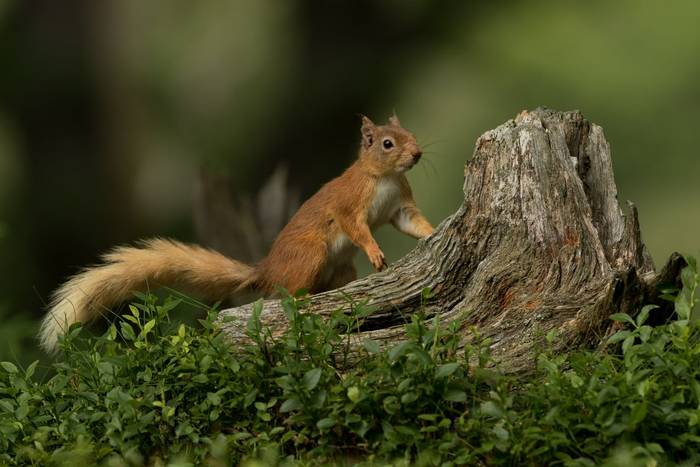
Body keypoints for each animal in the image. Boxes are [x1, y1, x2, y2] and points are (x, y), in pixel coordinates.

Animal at [39, 114, 434, 352]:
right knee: (284, 295)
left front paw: (432, 234)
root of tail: (265, 270)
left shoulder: (400, 206)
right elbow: (356, 228)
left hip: (340, 269)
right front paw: (375, 251)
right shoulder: (349, 204)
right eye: (386, 143)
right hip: (311, 253)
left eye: (412, 135)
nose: (417, 153)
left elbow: (413, 224)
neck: (384, 178)